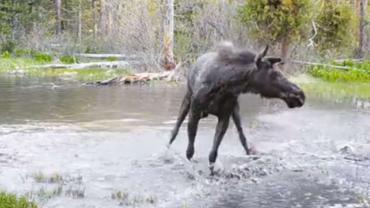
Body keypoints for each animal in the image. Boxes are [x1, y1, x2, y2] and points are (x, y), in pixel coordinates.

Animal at [167, 41, 304, 174]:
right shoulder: (194, 112)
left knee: (242, 136)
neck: (224, 85)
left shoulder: (225, 117)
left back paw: (252, 154)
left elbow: (213, 154)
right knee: (175, 130)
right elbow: (190, 151)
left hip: (235, 111)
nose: (300, 94)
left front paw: (212, 173)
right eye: (275, 74)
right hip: (187, 101)